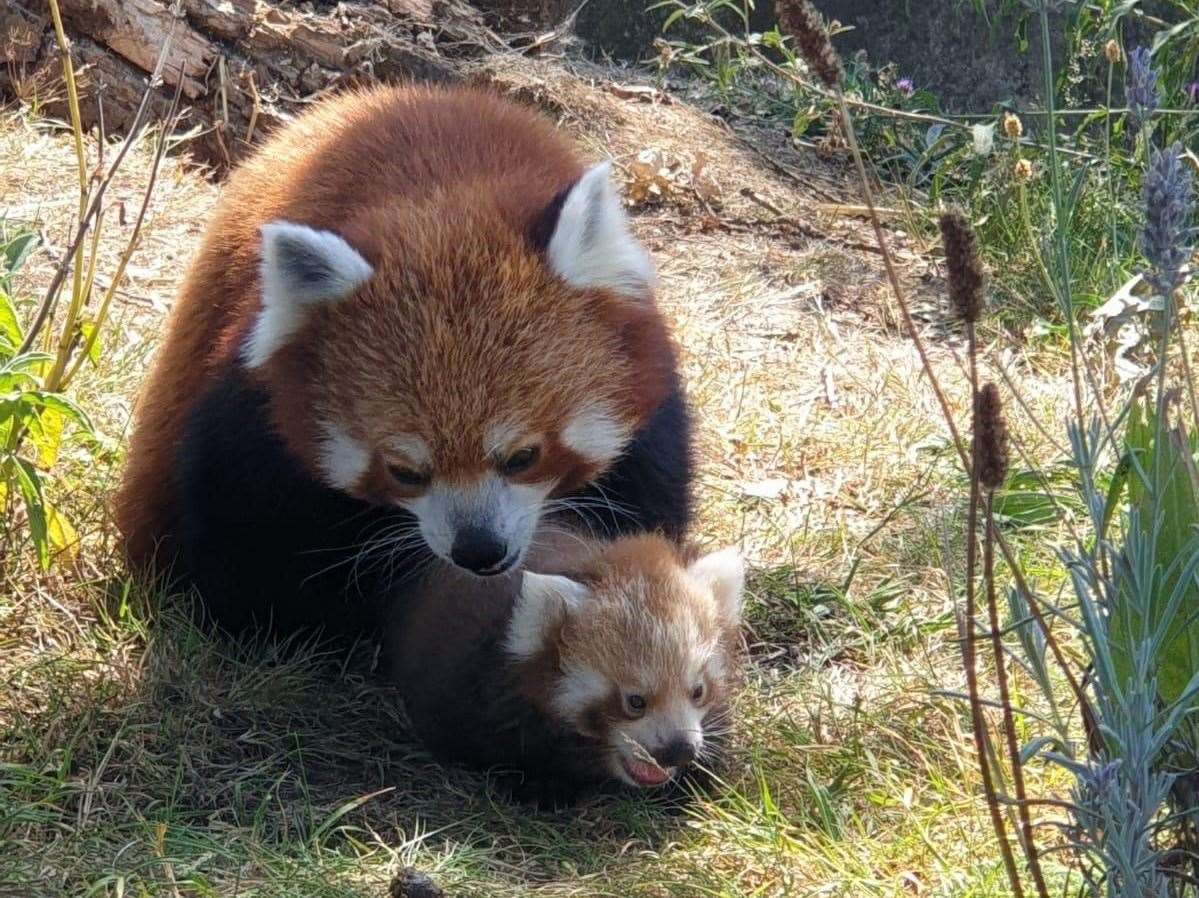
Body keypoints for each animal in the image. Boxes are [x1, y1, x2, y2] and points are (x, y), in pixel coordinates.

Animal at [114, 83, 695, 628]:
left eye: (523, 456)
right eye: (404, 471)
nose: (479, 551)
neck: (442, 202)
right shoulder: (254, 414)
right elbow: (246, 548)